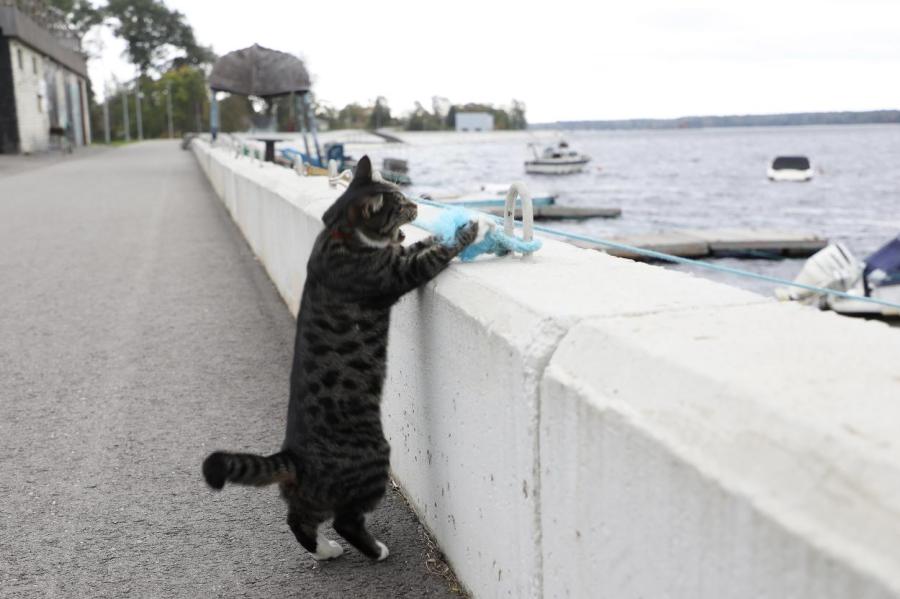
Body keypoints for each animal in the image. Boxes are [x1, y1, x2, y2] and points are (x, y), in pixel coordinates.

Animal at [201, 154, 482, 564]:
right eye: (400, 203)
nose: (416, 205)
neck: (340, 235)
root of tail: (295, 455)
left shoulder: (396, 256)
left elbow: (419, 244)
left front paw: (440, 232)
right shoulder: (395, 274)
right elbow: (432, 255)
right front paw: (467, 231)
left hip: (310, 496)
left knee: (298, 518)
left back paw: (324, 551)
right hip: (374, 459)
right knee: (344, 520)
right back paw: (375, 550)